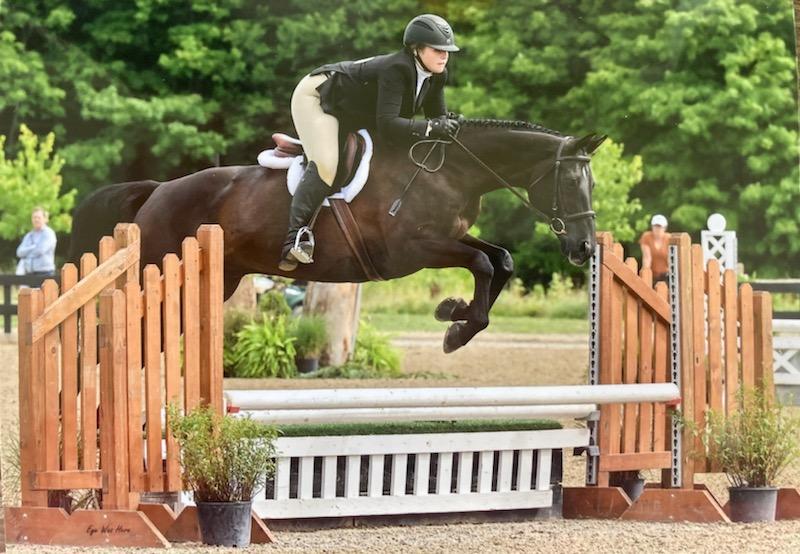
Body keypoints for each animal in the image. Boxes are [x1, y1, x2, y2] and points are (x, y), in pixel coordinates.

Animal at [70, 119, 608, 354]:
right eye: (570, 181)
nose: (582, 247)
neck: (451, 171)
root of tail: (157, 190)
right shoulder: (414, 250)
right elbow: (481, 263)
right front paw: (457, 326)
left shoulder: (449, 237)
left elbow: (501, 259)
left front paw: (453, 314)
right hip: (157, 268)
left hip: (219, 279)